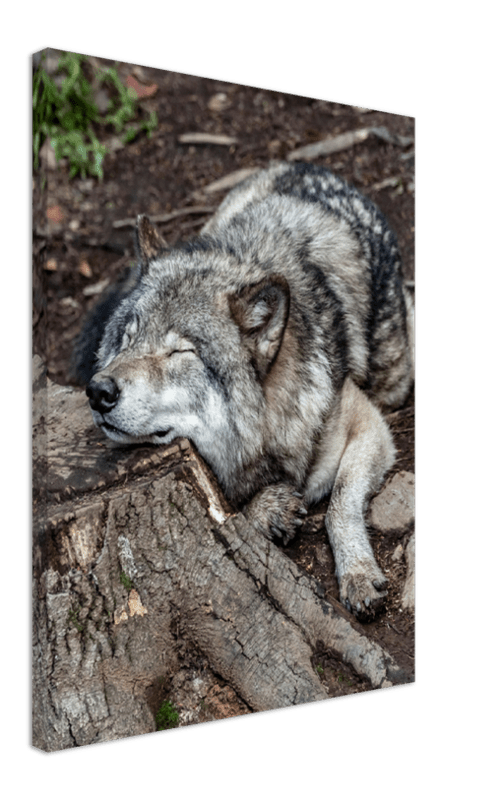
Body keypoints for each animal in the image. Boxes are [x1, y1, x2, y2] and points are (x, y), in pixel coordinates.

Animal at [74, 161, 415, 618]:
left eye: (180, 351)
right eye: (127, 339)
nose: (98, 391)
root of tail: (309, 166)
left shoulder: (369, 424)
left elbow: (340, 503)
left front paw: (358, 573)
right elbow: (228, 510)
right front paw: (266, 509)